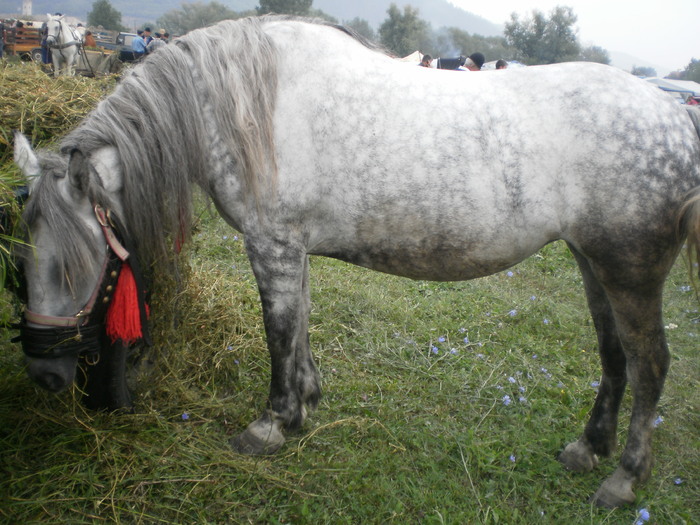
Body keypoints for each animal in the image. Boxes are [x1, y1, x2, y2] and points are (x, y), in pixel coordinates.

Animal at [9, 15, 700, 508]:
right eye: (19, 264)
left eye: (68, 267)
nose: (43, 376)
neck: (239, 105)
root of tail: (675, 118)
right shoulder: (293, 251)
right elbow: (300, 329)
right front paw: (307, 402)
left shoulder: (271, 246)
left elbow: (278, 333)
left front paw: (273, 422)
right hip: (593, 263)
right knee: (614, 357)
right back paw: (588, 448)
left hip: (631, 273)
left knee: (650, 365)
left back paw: (623, 478)